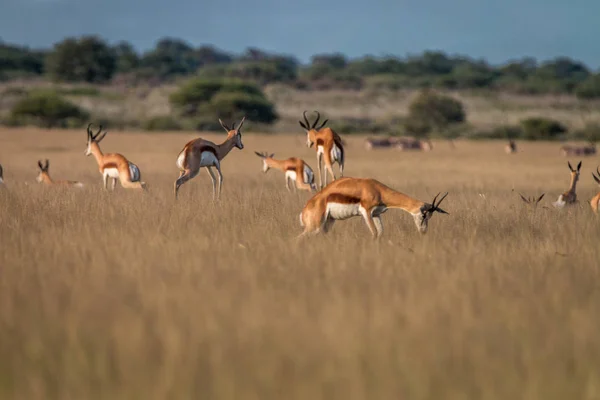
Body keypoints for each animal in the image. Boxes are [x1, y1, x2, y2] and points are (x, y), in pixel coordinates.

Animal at [298, 177, 448, 239]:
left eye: (430, 217)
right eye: (423, 215)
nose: (423, 231)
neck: (378, 190)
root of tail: (304, 210)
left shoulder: (376, 214)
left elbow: (380, 233)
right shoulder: (366, 212)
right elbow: (375, 233)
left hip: (327, 224)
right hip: (314, 227)